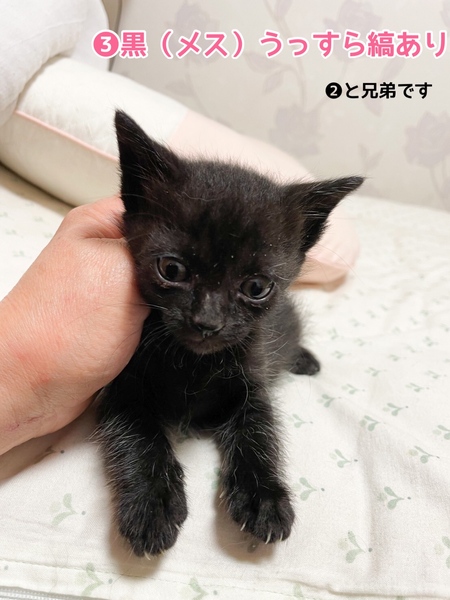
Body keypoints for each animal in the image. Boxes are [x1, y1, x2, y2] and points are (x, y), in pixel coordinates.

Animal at [97, 109, 363, 557]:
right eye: (171, 269)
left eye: (256, 287)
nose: (207, 322)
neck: (191, 363)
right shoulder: (118, 382)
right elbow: (136, 434)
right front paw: (152, 503)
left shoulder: (252, 379)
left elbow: (259, 430)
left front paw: (264, 498)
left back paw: (305, 360)